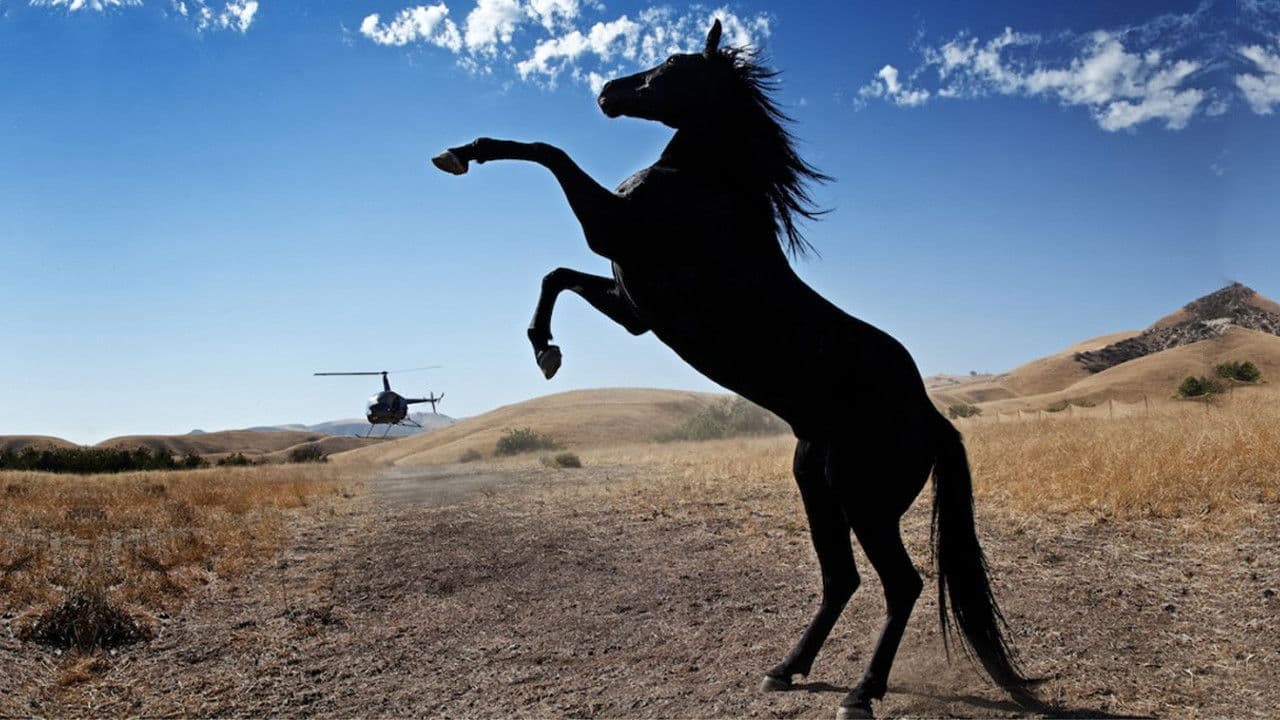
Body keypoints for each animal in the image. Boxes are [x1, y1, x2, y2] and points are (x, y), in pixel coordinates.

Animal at [432, 19, 1035, 719]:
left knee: (901, 584)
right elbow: (555, 274)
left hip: (864, 499)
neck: (707, 188)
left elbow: (547, 153)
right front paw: (545, 351)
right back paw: (786, 669)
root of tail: (932, 419)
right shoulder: (632, 304)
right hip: (817, 484)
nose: (607, 92)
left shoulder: (613, 235)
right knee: (842, 578)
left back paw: (860, 693)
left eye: (674, 64)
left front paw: (461, 154)